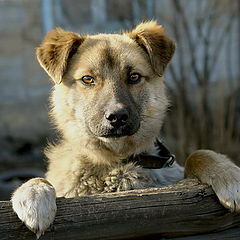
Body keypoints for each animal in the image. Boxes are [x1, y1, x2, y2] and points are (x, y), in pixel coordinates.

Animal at [11, 21, 240, 238]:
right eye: (88, 79)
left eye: (134, 77)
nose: (117, 117)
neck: (117, 162)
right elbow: (39, 179)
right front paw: (33, 195)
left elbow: (198, 153)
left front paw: (229, 176)